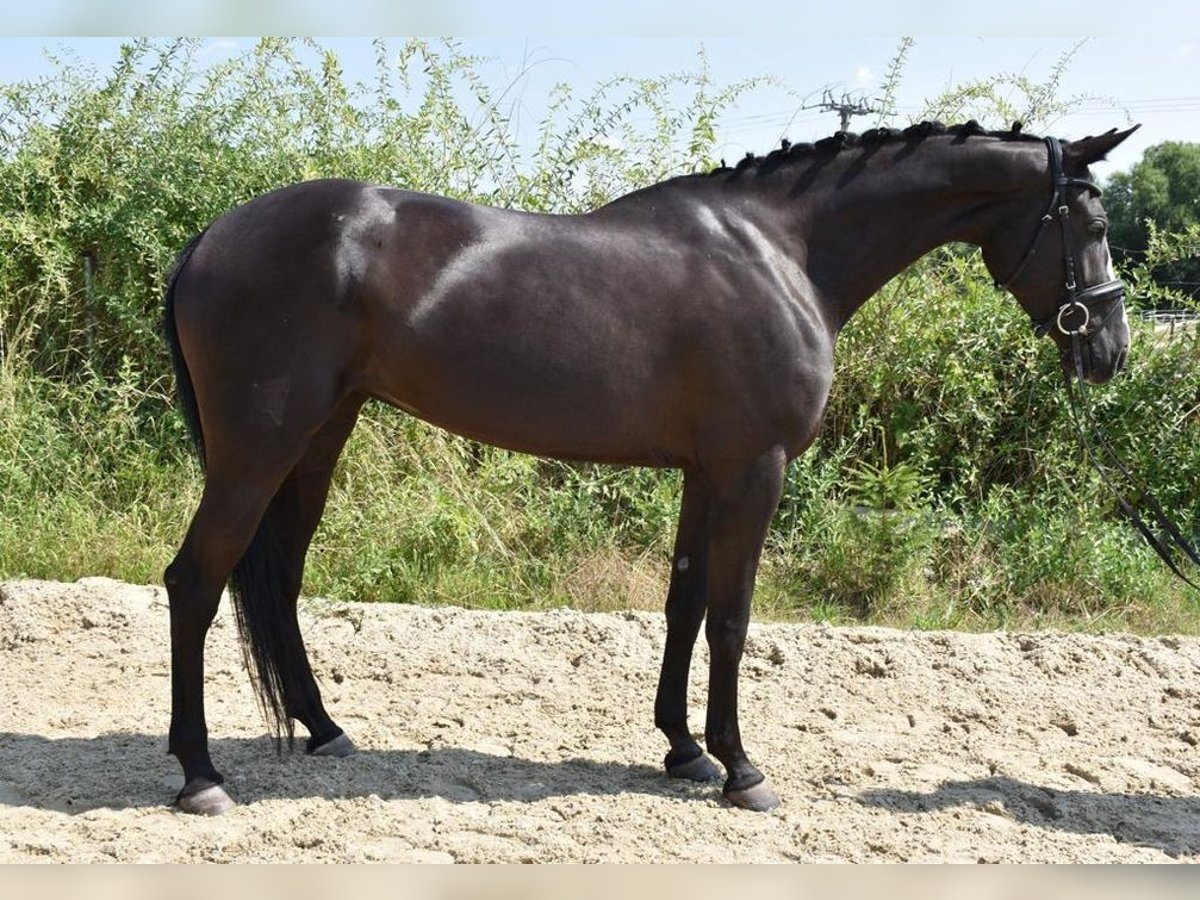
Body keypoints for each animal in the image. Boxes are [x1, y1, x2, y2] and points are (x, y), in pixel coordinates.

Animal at [159, 121, 1132, 816]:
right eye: (1091, 222)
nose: (1111, 350)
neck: (782, 253)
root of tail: (210, 238)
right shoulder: (754, 471)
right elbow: (733, 619)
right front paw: (741, 768)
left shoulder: (708, 473)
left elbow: (685, 603)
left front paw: (684, 750)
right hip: (258, 449)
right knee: (195, 581)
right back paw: (200, 775)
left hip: (319, 436)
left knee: (279, 580)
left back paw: (324, 729)